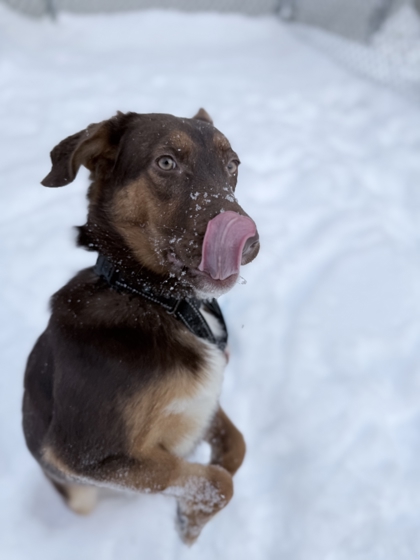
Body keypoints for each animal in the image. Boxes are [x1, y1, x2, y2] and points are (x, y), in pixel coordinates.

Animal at [22, 108, 260, 544]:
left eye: (233, 165)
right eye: (166, 162)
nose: (249, 242)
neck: (154, 300)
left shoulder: (203, 400)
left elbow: (236, 446)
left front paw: (191, 511)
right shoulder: (83, 454)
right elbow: (214, 480)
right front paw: (191, 524)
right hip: (78, 492)